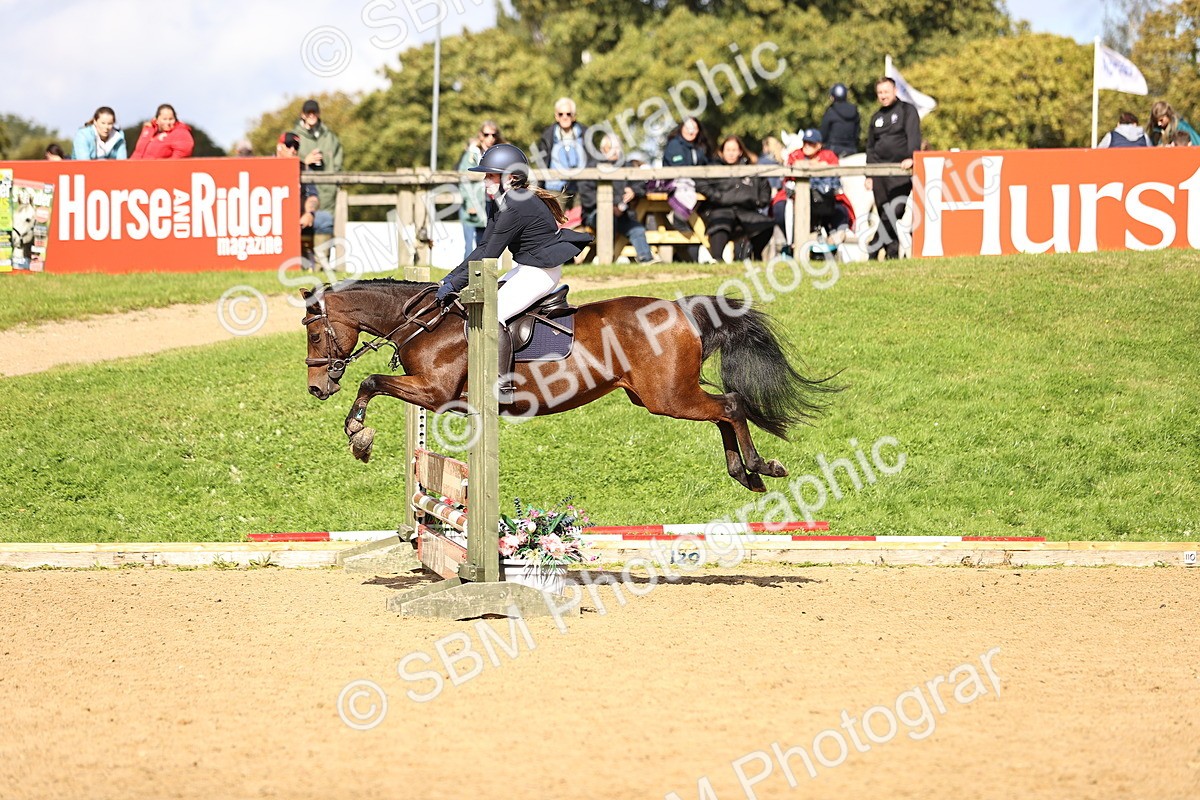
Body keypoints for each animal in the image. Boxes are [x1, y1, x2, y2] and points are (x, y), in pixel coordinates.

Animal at [301, 279, 837, 492]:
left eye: (314, 333)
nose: (315, 389)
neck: (427, 324)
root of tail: (682, 310)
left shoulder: (434, 393)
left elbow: (371, 380)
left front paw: (359, 436)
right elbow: (373, 382)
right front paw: (358, 434)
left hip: (668, 398)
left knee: (730, 405)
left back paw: (759, 466)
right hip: (662, 396)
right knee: (724, 410)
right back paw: (744, 472)